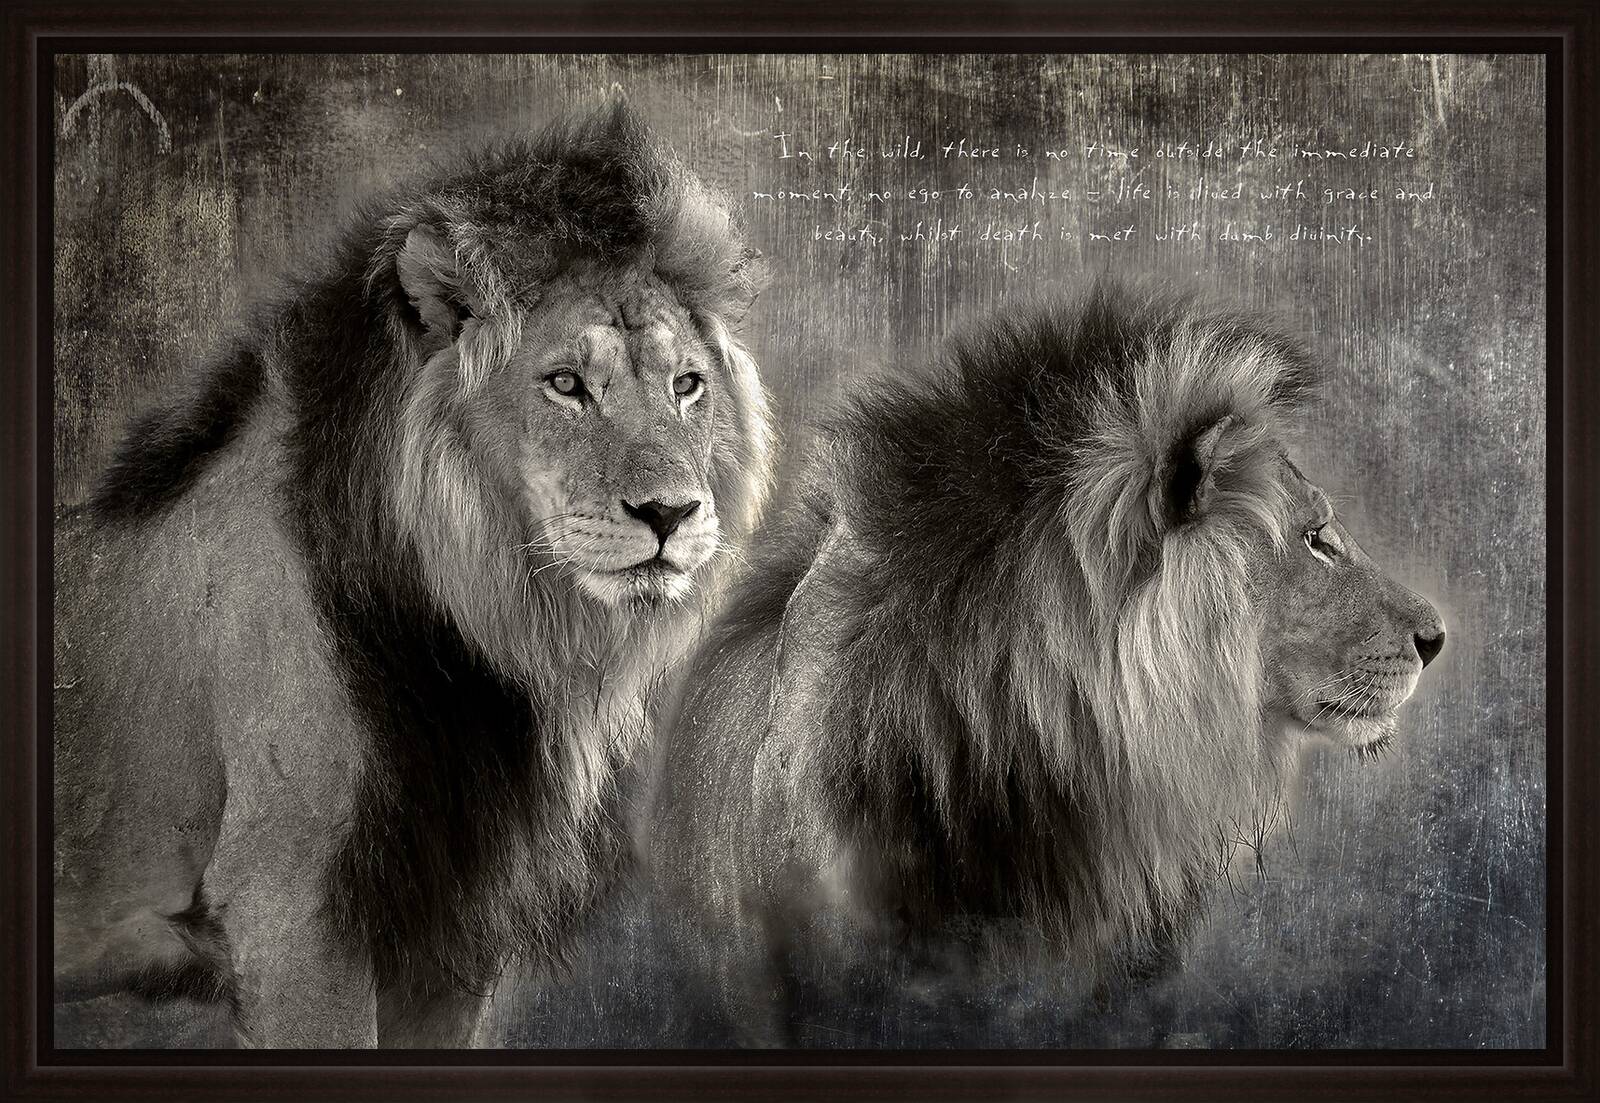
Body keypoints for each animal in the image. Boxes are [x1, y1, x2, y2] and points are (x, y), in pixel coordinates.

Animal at [53, 102, 773, 1048]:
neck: (485, 639)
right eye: (566, 384)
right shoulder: (290, 912)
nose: (670, 514)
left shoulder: (446, 941)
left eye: (688, 384)